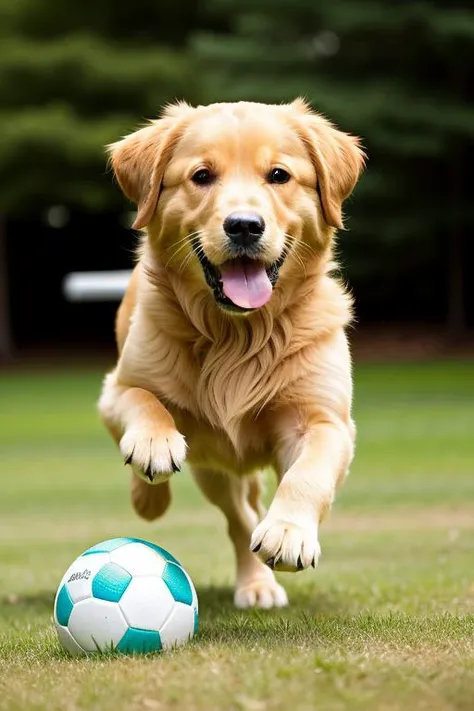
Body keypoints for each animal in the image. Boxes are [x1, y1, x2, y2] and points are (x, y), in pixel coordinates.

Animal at [98, 98, 364, 612]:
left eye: (279, 175)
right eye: (202, 176)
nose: (244, 225)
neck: (237, 335)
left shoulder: (326, 421)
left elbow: (308, 472)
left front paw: (288, 532)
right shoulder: (115, 390)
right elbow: (143, 399)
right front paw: (153, 445)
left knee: (247, 514)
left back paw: (259, 581)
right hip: (210, 468)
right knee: (237, 514)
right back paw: (151, 498)